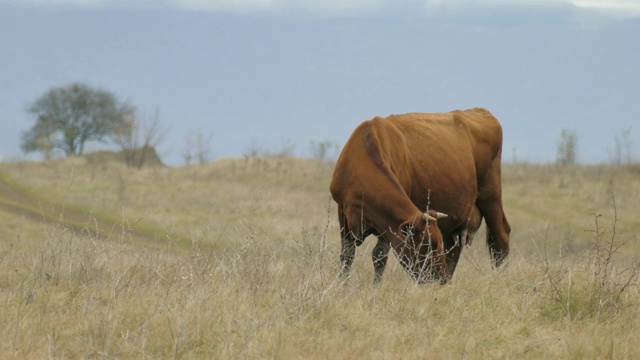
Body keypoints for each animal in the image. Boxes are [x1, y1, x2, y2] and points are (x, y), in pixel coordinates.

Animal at [330, 107, 510, 284]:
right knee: (454, 248)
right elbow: (347, 255)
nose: (441, 278)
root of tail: (481, 112)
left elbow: (379, 255)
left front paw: (376, 285)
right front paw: (342, 284)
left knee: (501, 238)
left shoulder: (387, 223)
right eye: (430, 244)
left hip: (491, 197)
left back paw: (500, 277)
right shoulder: (343, 213)